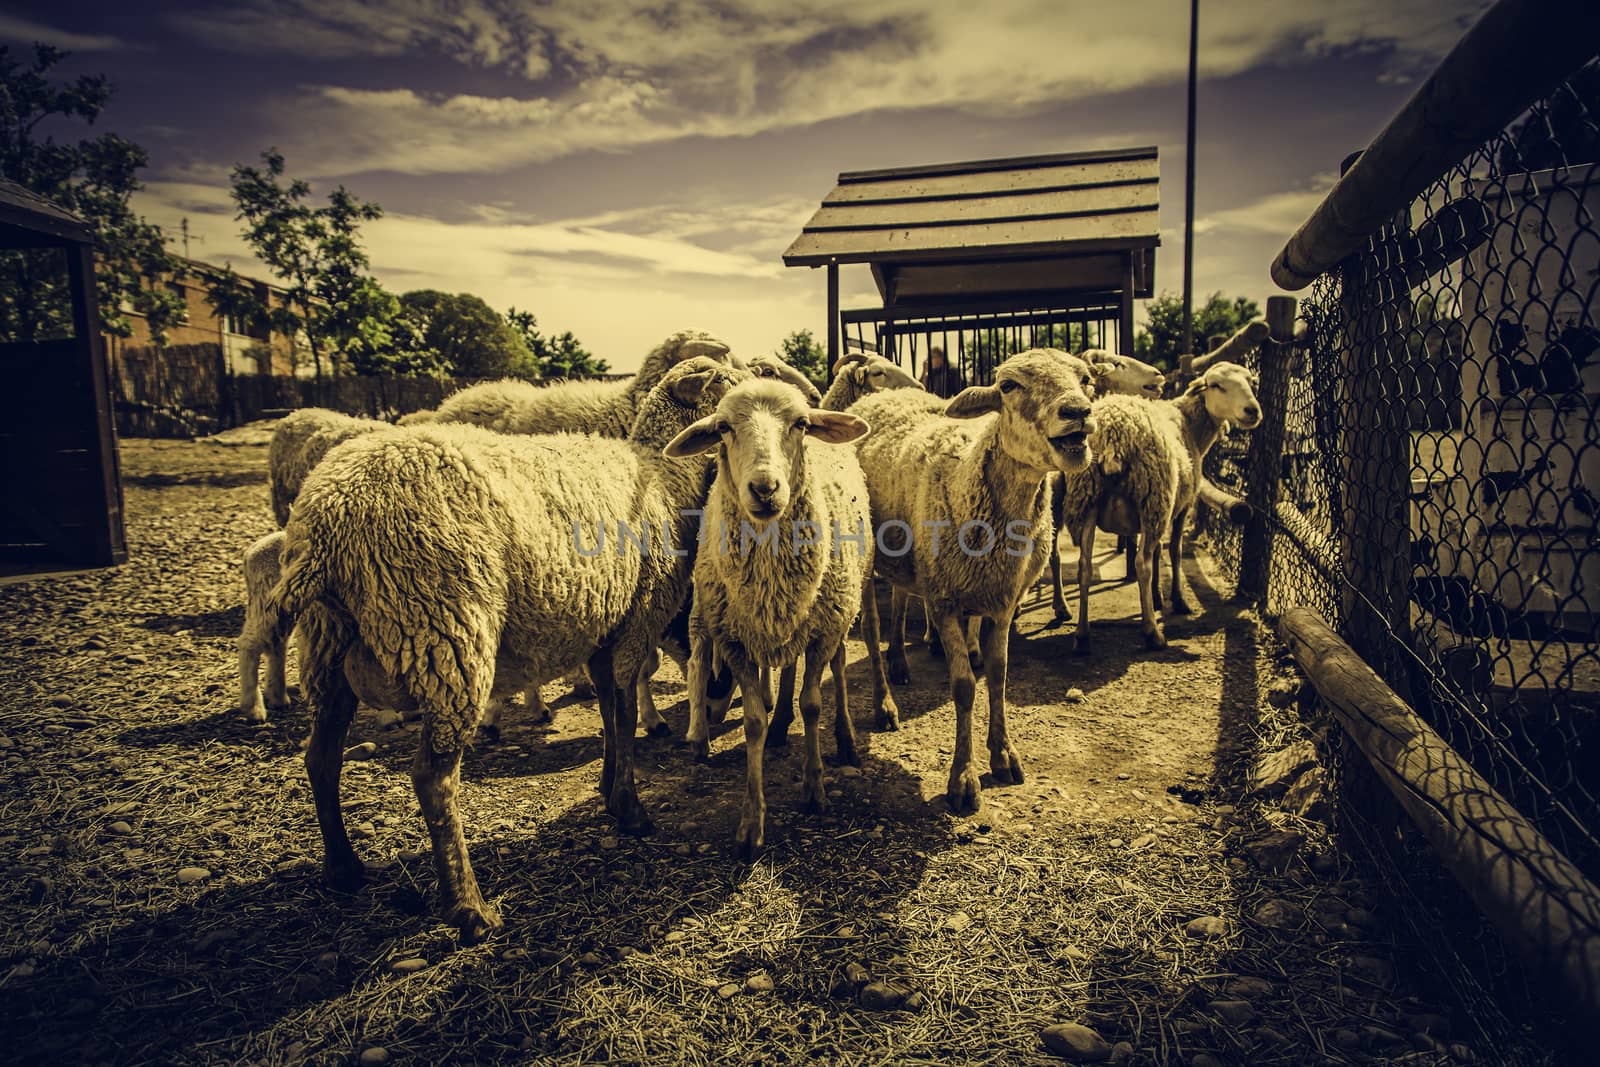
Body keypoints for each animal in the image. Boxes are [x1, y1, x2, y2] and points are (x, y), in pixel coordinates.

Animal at [259, 358, 745, 940]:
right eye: (730, 384)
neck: (664, 475)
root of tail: (327, 519)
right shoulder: (636, 621)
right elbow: (626, 715)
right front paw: (630, 811)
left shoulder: (604, 627)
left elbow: (610, 712)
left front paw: (609, 788)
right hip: (443, 632)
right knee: (432, 777)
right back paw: (468, 907)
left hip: (328, 645)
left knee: (321, 757)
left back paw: (344, 868)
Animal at [668, 379, 883, 857]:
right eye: (724, 427)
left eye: (800, 424)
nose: (765, 488)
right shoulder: (734, 640)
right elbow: (752, 723)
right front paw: (752, 822)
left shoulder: (823, 630)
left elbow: (813, 703)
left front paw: (814, 789)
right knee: (783, 669)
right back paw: (779, 721)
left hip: (844, 604)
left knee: (839, 668)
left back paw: (845, 739)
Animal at [851, 347, 1100, 812]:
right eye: (1008, 385)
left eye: (1086, 379)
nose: (1078, 412)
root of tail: (878, 398)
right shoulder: (944, 601)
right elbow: (965, 686)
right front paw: (963, 778)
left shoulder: (1003, 600)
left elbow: (998, 675)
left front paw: (1003, 754)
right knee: (872, 630)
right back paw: (884, 704)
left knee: (900, 599)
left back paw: (899, 662)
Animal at [1062, 358, 1260, 652]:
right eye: (1217, 385)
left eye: (1250, 381)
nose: (1252, 411)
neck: (1191, 427)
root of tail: (1113, 433)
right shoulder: (1179, 506)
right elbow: (1174, 551)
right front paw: (1177, 600)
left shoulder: (1162, 508)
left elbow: (1157, 553)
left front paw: (1155, 597)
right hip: (1152, 495)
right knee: (1140, 564)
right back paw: (1152, 633)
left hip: (1088, 497)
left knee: (1084, 567)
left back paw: (1082, 636)